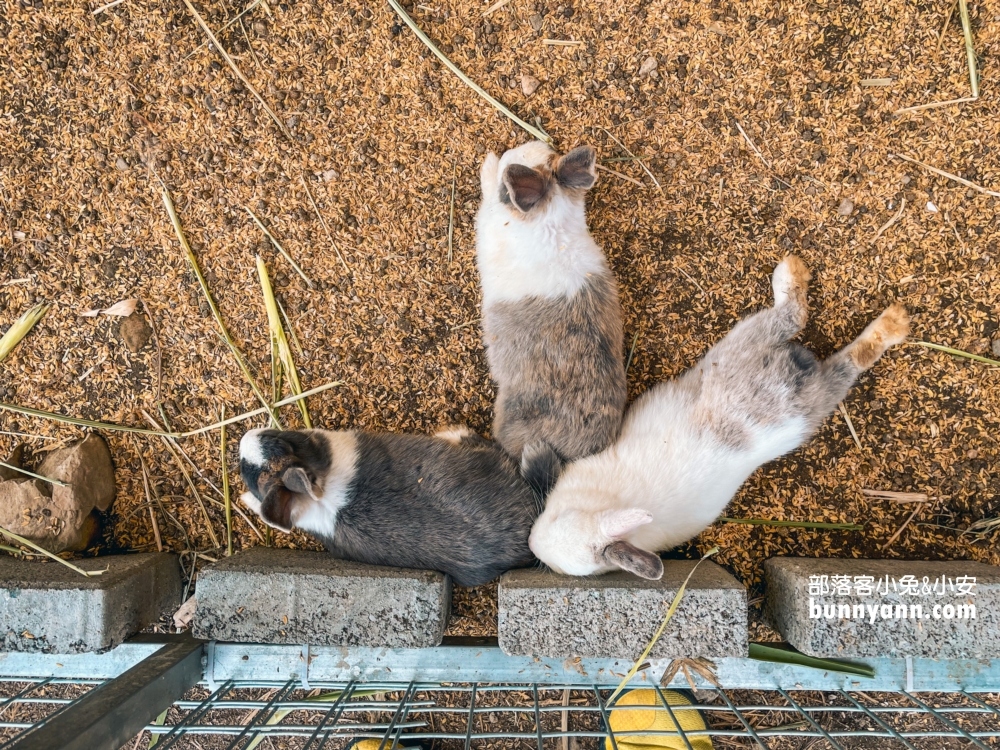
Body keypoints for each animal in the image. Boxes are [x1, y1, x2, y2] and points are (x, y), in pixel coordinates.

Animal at [528, 258, 912, 580]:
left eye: (559, 518)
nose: (533, 543)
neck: (602, 504)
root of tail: (791, 382)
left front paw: (533, 452)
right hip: (813, 406)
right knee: (847, 364)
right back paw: (893, 325)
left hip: (736, 346)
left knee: (791, 316)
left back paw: (791, 272)